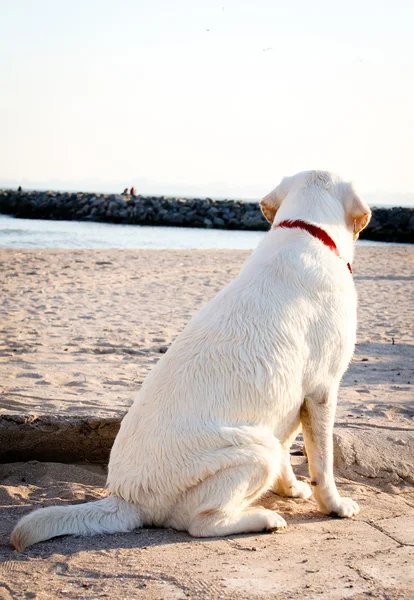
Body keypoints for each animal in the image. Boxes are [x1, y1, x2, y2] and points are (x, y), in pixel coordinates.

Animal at [11, 168, 370, 548]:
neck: (306, 230)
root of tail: (126, 498)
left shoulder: (291, 404)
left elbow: (291, 455)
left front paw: (291, 489)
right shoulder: (322, 392)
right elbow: (323, 464)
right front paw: (335, 506)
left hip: (265, 438)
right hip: (257, 448)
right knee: (198, 523)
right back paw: (262, 518)